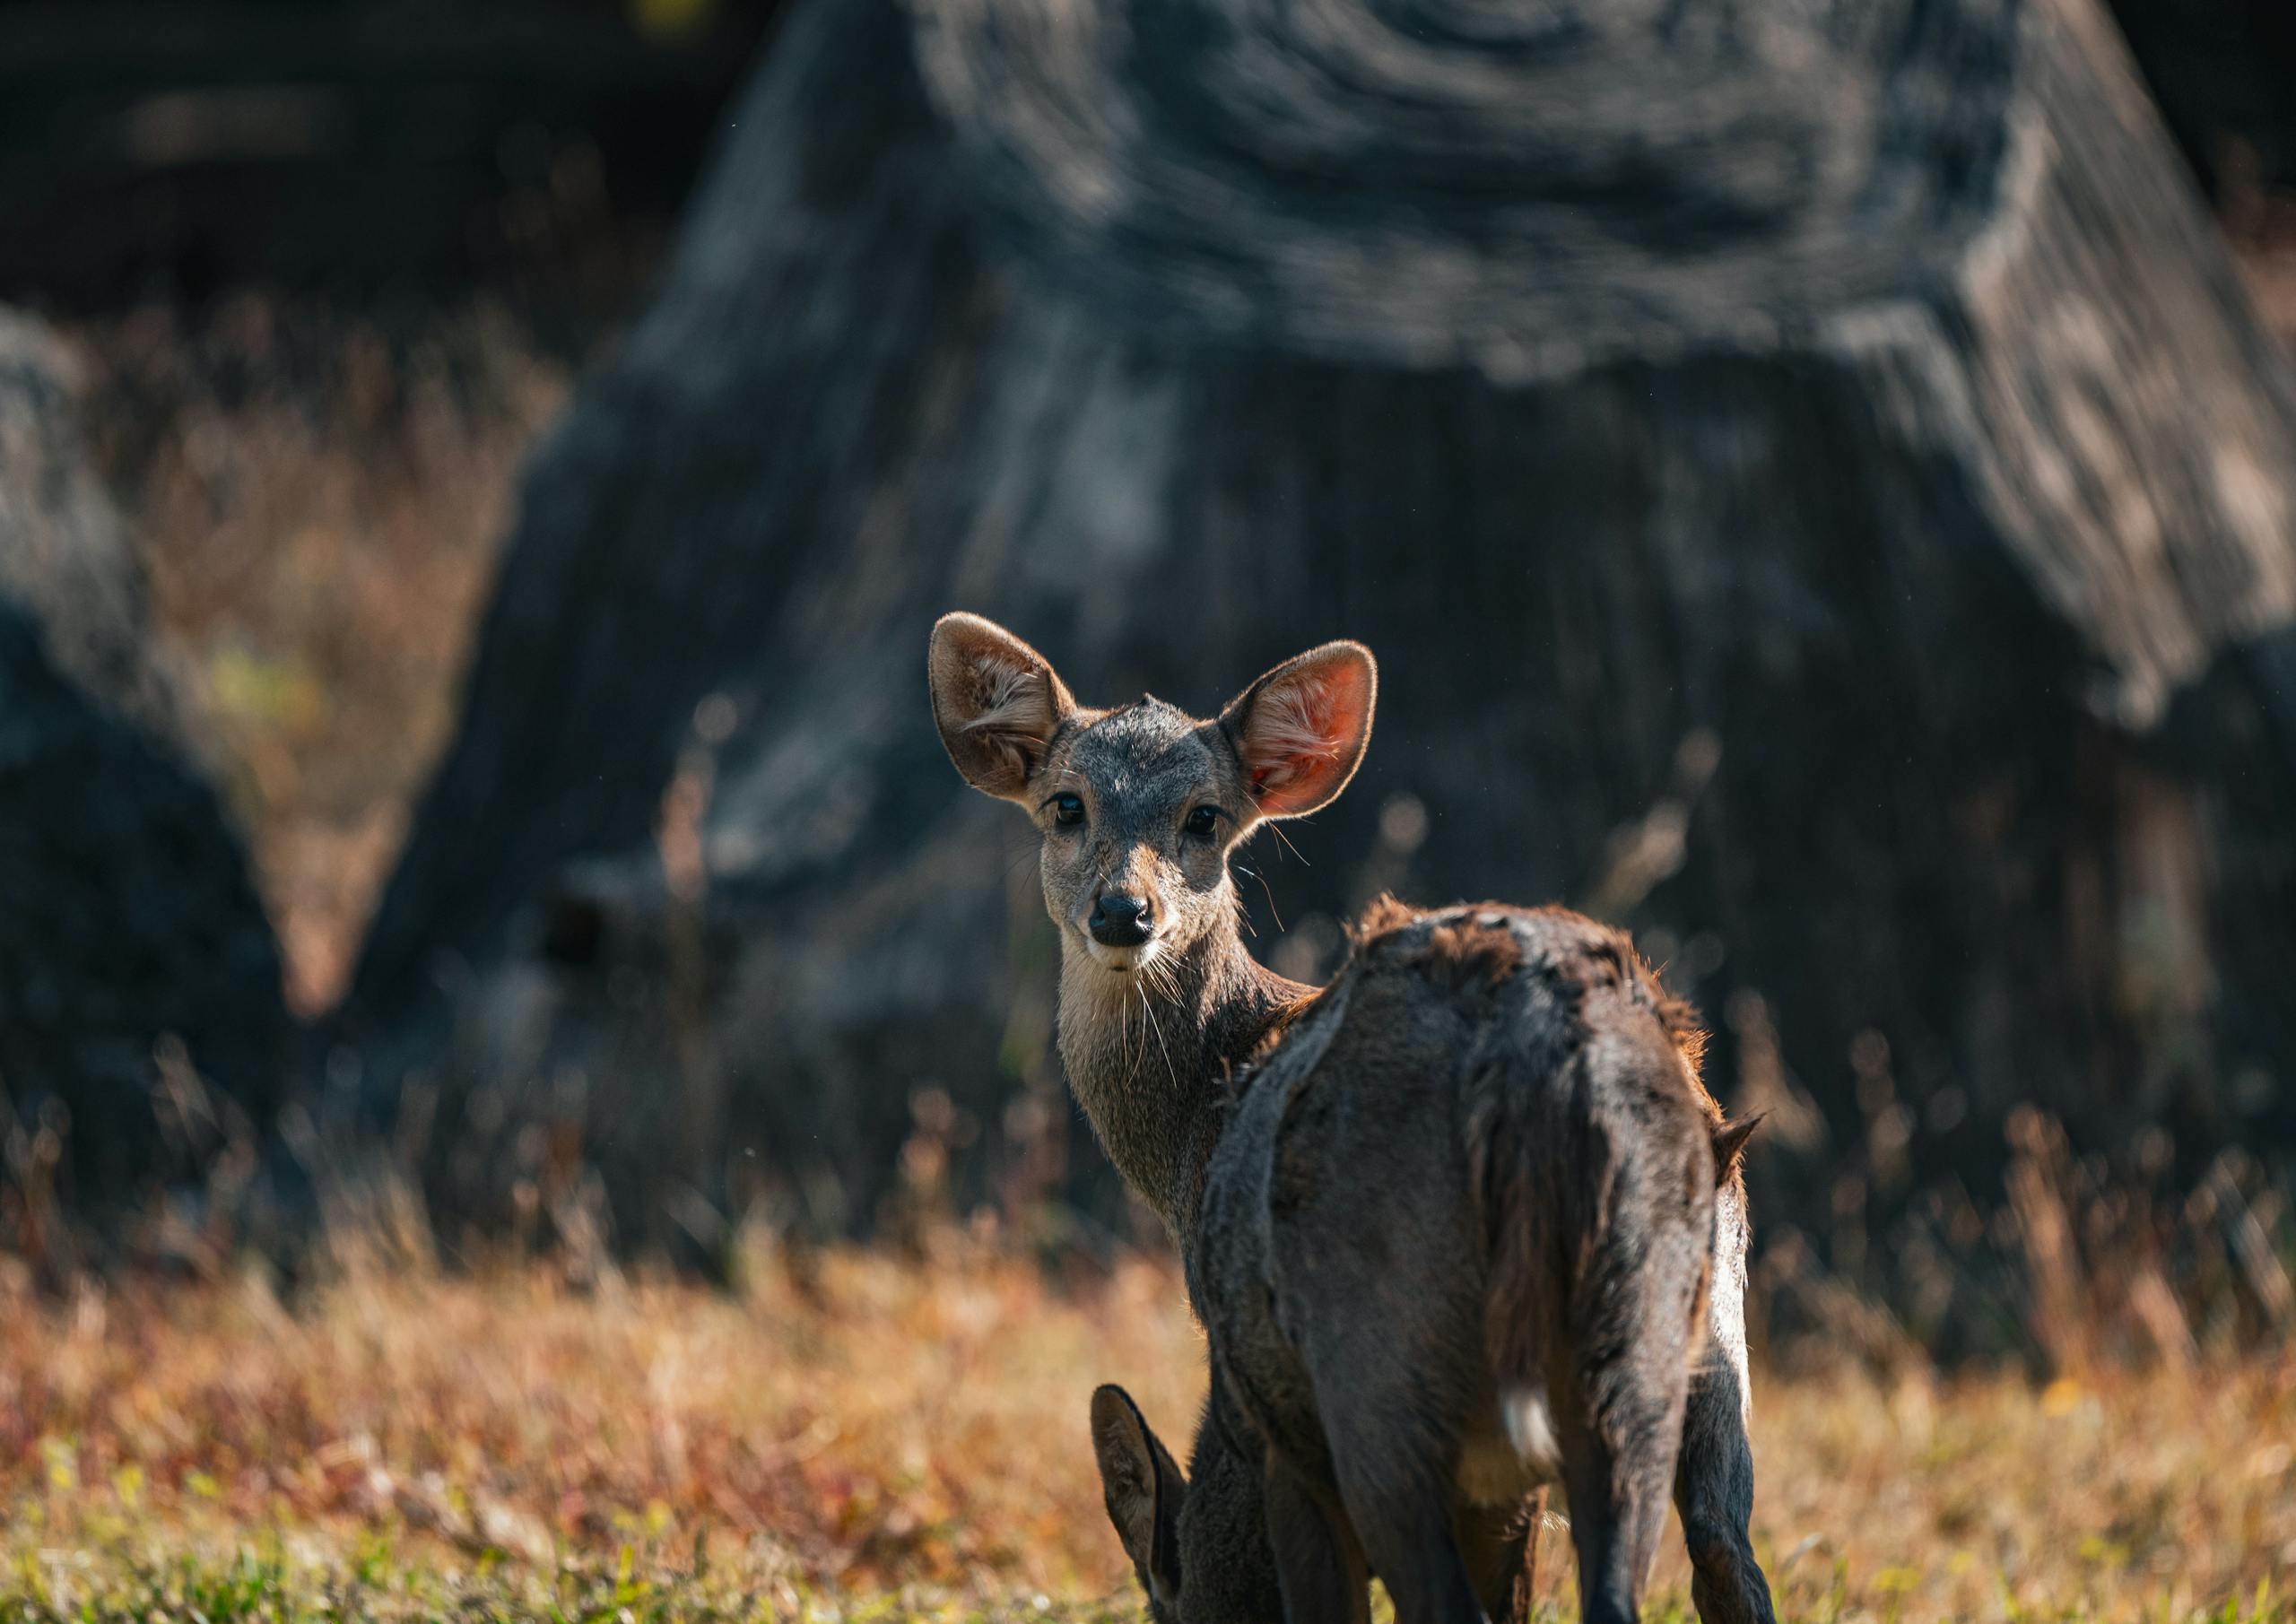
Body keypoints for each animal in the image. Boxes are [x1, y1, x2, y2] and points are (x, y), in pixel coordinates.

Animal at [927, 613, 1775, 1624]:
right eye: (1065, 805)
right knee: (1721, 1555)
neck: (1194, 1123)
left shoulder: (1272, 1419)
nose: (1124, 913)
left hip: (1383, 1371)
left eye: (1204, 817)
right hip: (1694, 1345)